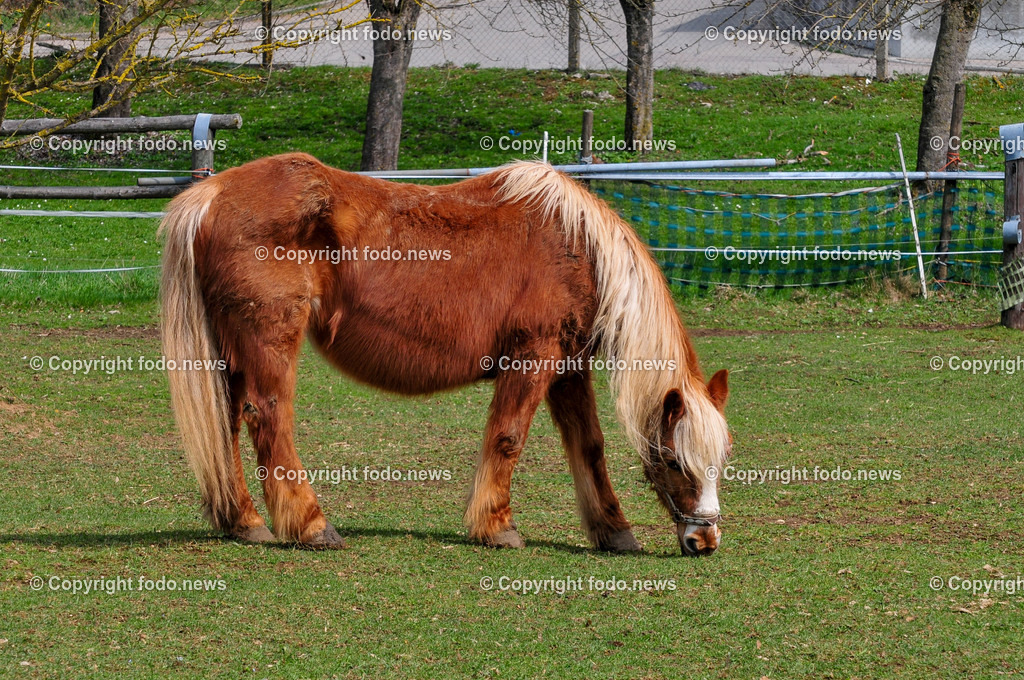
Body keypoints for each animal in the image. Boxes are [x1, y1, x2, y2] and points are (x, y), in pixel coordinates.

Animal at [159, 153, 731, 556]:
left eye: (721, 460)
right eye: (675, 460)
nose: (703, 541)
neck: (576, 246)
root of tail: (211, 193)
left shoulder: (569, 368)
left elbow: (589, 447)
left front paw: (614, 532)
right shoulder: (533, 359)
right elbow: (507, 438)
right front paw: (497, 527)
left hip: (232, 350)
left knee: (228, 423)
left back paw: (244, 521)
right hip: (269, 340)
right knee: (269, 418)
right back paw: (312, 525)